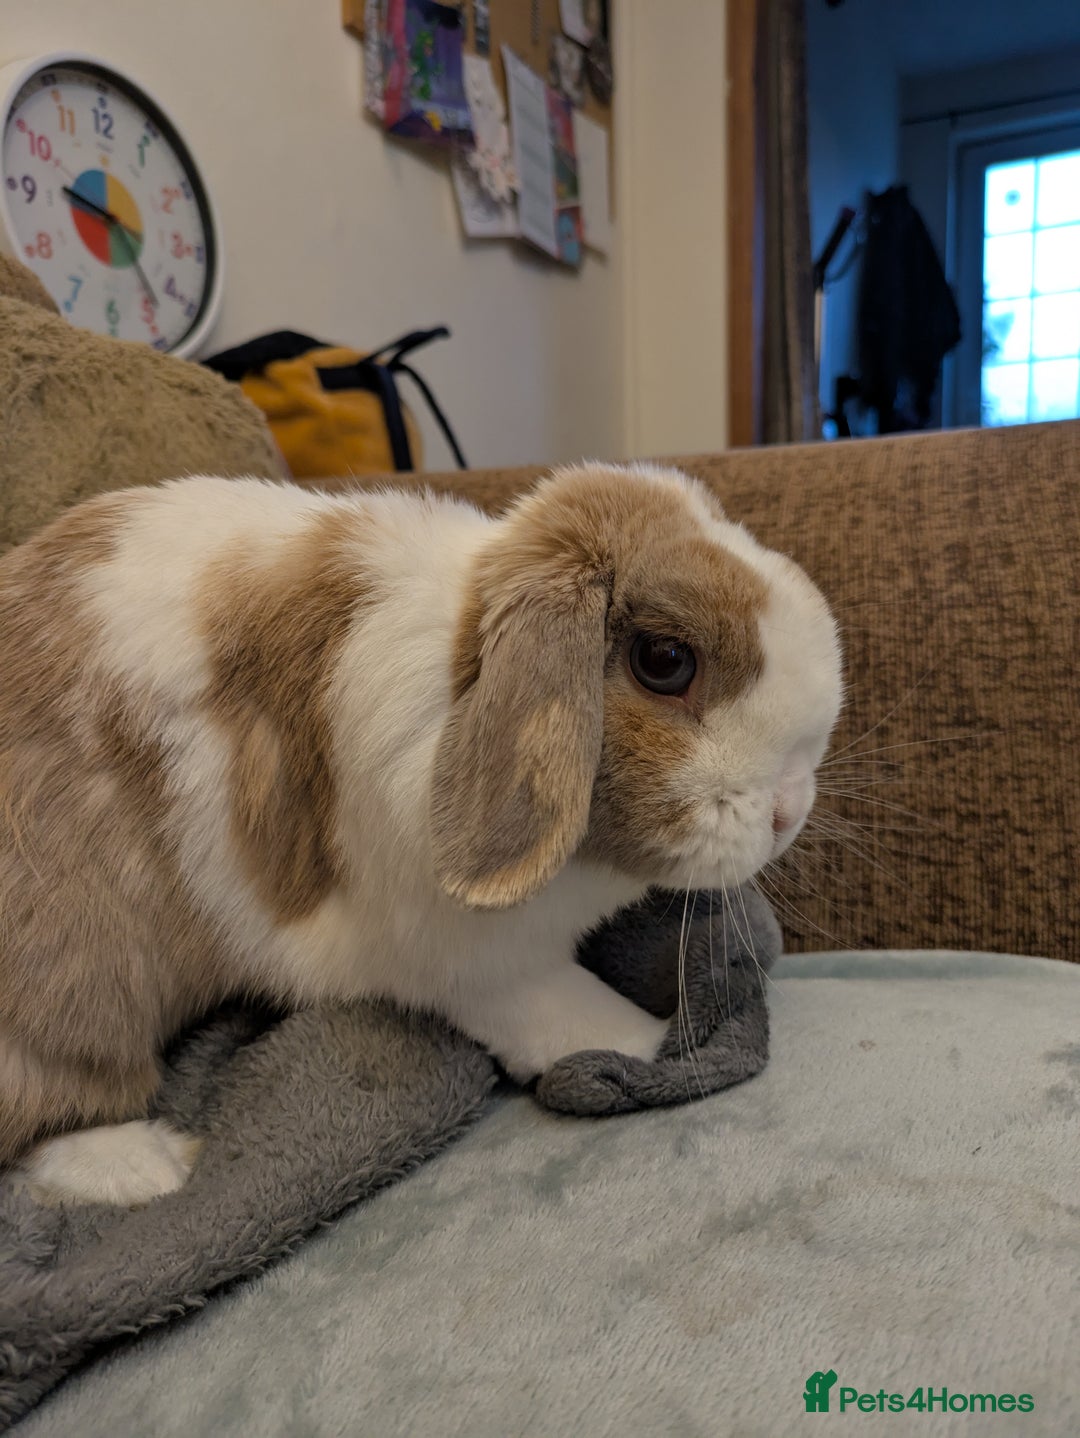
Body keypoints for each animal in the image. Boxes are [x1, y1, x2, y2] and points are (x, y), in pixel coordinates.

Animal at [0, 462, 842, 1205]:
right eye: (664, 660)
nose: (788, 811)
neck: (462, 667)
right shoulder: (473, 960)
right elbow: (565, 1014)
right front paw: (647, 1045)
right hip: (81, 974)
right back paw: (148, 1168)